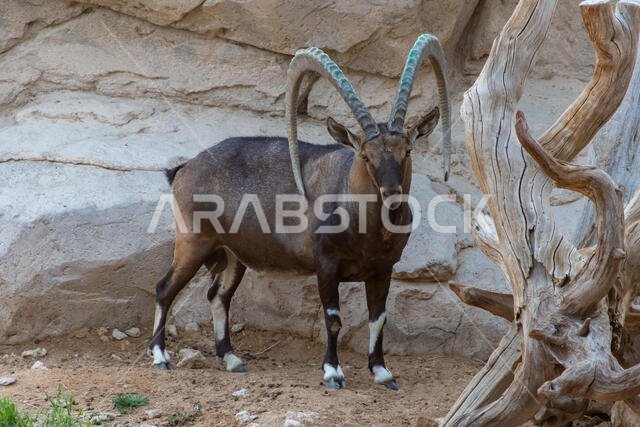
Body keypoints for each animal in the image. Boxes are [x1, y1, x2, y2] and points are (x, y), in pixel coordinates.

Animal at [149, 34, 451, 390]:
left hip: (234, 256)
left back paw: (231, 359)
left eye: (407, 151)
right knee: (165, 289)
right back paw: (160, 356)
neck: (365, 227)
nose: (391, 192)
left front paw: (382, 373)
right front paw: (333, 373)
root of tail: (183, 169)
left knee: (218, 295)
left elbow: (379, 319)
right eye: (365, 155)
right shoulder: (326, 264)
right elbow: (333, 319)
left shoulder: (383, 268)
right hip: (193, 242)